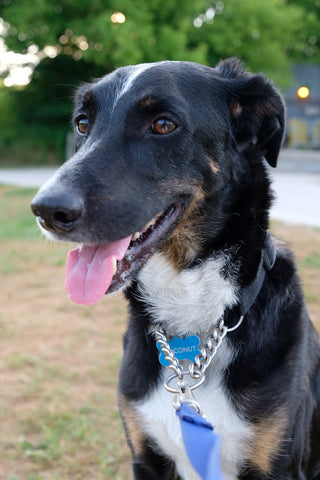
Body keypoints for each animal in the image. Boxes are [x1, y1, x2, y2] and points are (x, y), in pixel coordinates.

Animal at [30, 58, 320, 478]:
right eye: (83, 123)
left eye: (164, 125)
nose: (46, 210)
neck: (192, 317)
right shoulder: (147, 457)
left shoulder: (278, 466)